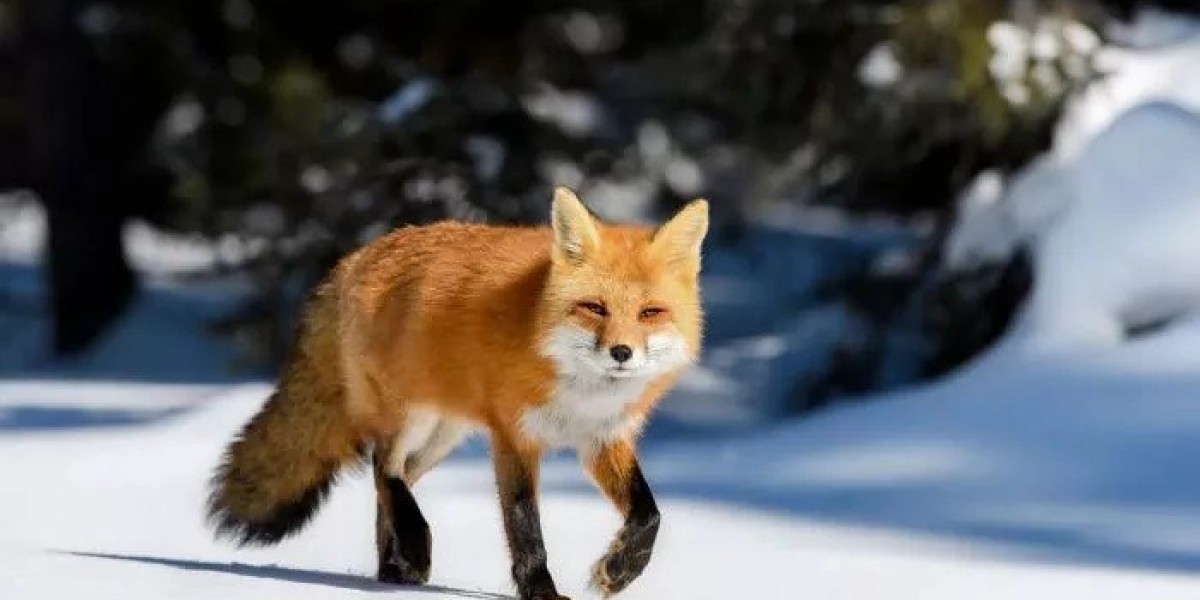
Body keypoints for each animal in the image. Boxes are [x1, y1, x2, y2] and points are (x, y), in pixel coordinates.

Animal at [206, 187, 709, 599]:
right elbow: (525, 525)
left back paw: (392, 570)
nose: (621, 352)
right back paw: (413, 546)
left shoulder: (603, 438)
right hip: (409, 417)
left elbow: (649, 514)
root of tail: (356, 257)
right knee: (383, 466)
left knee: (392, 482)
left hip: (442, 436)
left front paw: (619, 570)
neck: (580, 390)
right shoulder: (513, 437)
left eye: (650, 313)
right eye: (594, 308)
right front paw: (541, 592)